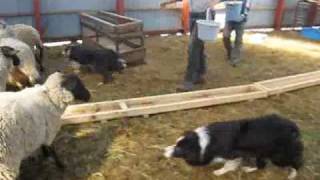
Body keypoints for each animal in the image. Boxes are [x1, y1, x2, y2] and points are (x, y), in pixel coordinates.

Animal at [164, 114, 304, 179]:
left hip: (279, 156)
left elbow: (228, 165)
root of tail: (293, 127)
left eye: (179, 148)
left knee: (296, 162)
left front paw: (219, 172)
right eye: (175, 143)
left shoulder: (233, 155)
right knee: (261, 165)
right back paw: (248, 169)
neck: (203, 142)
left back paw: (293, 174)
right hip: (261, 152)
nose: (164, 150)